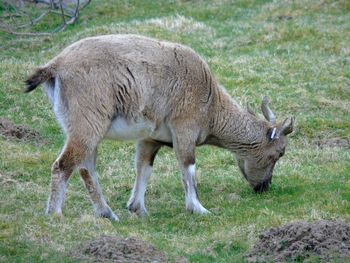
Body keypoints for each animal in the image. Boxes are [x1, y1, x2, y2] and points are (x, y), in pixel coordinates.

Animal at [25, 34, 292, 221]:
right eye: (278, 153)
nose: (263, 187)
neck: (211, 104)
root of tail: (56, 66)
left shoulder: (150, 139)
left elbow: (143, 168)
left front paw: (137, 208)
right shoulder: (184, 128)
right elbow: (188, 167)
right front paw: (198, 209)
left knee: (86, 167)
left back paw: (107, 213)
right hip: (88, 125)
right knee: (63, 165)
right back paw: (55, 214)